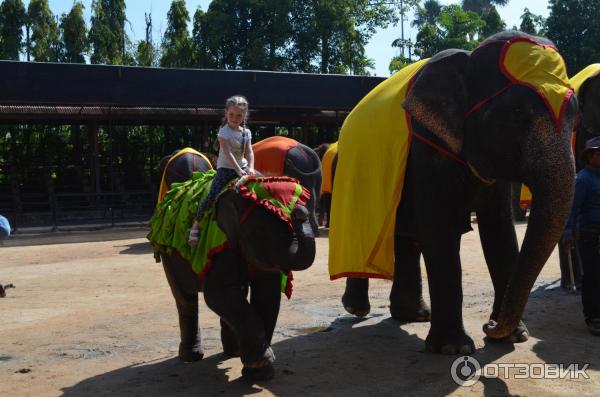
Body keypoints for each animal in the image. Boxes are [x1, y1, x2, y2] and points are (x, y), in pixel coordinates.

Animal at [149, 152, 314, 380]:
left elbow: (267, 295)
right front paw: (261, 363)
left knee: (236, 293)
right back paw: (191, 357)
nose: (300, 211)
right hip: (168, 255)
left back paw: (233, 352)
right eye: (265, 232)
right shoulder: (223, 242)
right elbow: (217, 294)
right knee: (185, 299)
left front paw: (258, 373)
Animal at [330, 31, 580, 352]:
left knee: (406, 237)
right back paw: (357, 309)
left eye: (575, 115)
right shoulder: (426, 147)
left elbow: (499, 230)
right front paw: (454, 349)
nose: (488, 325)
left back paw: (414, 315)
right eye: (516, 112)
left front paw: (513, 337)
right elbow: (439, 232)